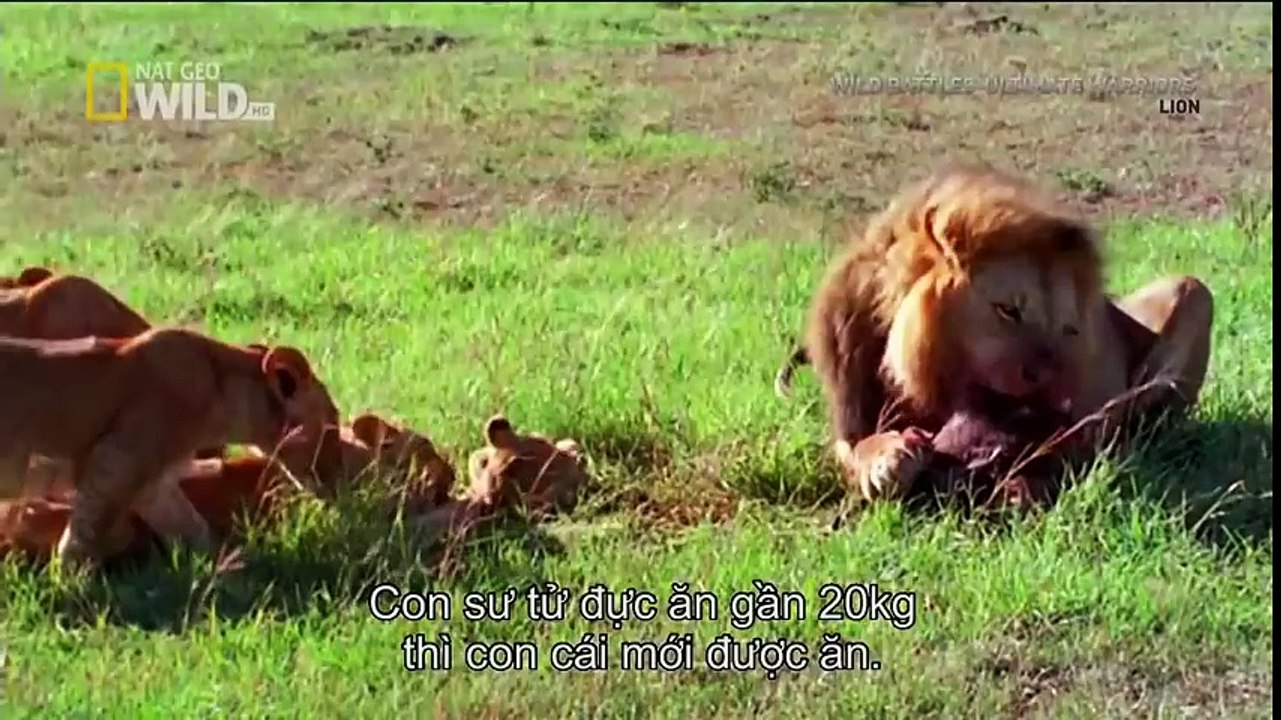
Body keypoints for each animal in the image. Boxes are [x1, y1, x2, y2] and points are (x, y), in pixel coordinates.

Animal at [0, 327, 340, 569]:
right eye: (331, 425)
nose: (335, 485)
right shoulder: (111, 463)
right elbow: (84, 533)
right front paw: (70, 584)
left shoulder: (154, 484)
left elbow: (193, 528)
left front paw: (229, 568)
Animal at [776, 164, 1213, 502]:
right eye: (1008, 310)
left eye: (1068, 329)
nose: (1056, 389)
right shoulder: (849, 420)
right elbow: (858, 448)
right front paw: (887, 459)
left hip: (1195, 291)